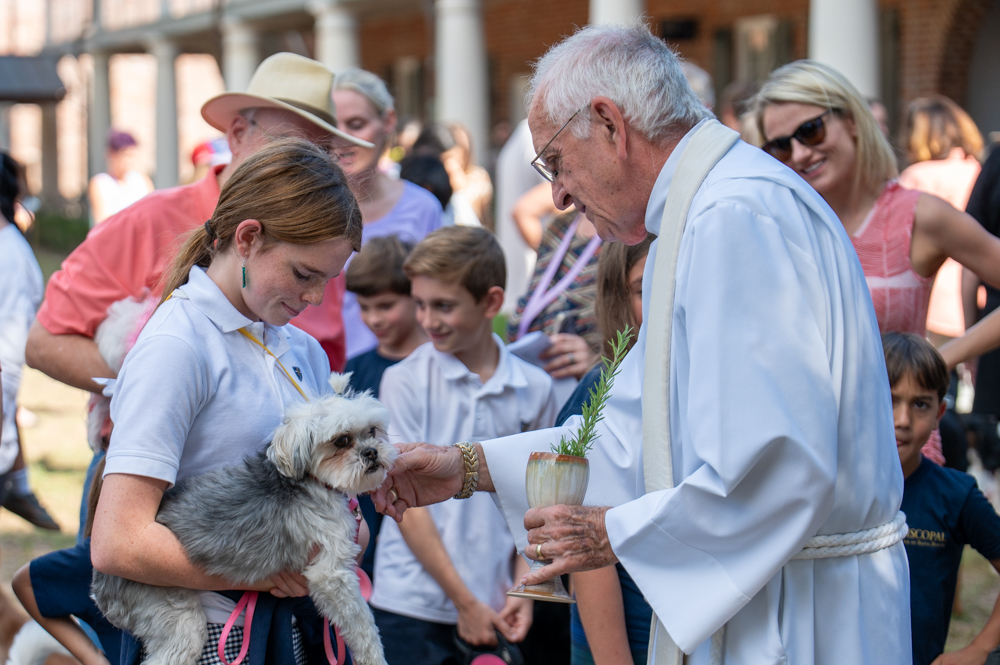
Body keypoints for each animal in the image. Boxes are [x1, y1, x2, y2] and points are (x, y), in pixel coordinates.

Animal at [91, 374, 394, 664]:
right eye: (341, 440)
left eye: (372, 431)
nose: (371, 452)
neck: (313, 481)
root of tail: (98, 584)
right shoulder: (331, 575)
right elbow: (363, 625)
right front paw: (374, 657)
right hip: (173, 614)